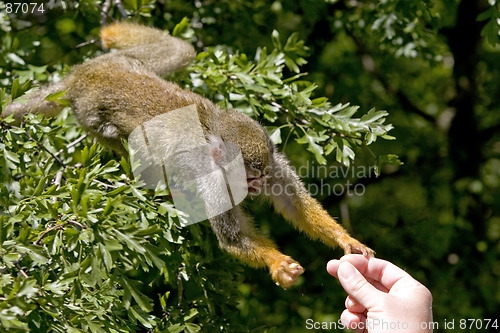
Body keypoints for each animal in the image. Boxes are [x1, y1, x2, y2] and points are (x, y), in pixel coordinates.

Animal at [1, 22, 374, 288]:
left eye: (260, 178)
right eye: (247, 177)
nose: (254, 188)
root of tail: (76, 78)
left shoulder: (273, 162)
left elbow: (293, 204)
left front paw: (346, 239)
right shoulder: (213, 177)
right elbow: (233, 237)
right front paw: (278, 263)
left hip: (123, 64)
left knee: (180, 51)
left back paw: (110, 32)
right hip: (89, 113)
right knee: (124, 139)